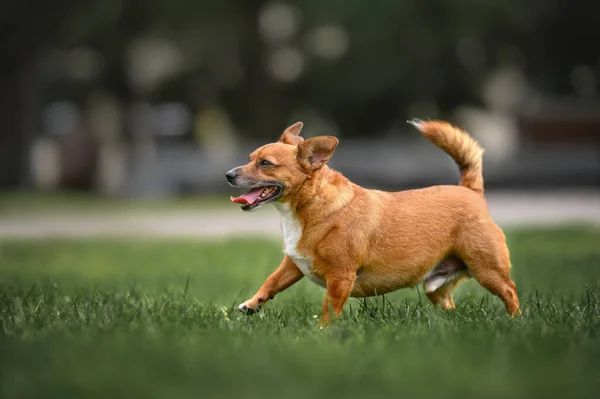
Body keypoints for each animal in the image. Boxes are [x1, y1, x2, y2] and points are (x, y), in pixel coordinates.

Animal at [225, 119, 520, 324]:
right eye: (250, 159)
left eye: (265, 163)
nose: (228, 175)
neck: (307, 208)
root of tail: (471, 190)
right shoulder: (293, 265)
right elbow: (272, 281)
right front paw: (252, 304)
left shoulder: (340, 277)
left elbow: (330, 307)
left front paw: (323, 333)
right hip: (436, 286)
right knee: (449, 305)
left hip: (487, 269)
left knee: (509, 290)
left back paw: (515, 321)